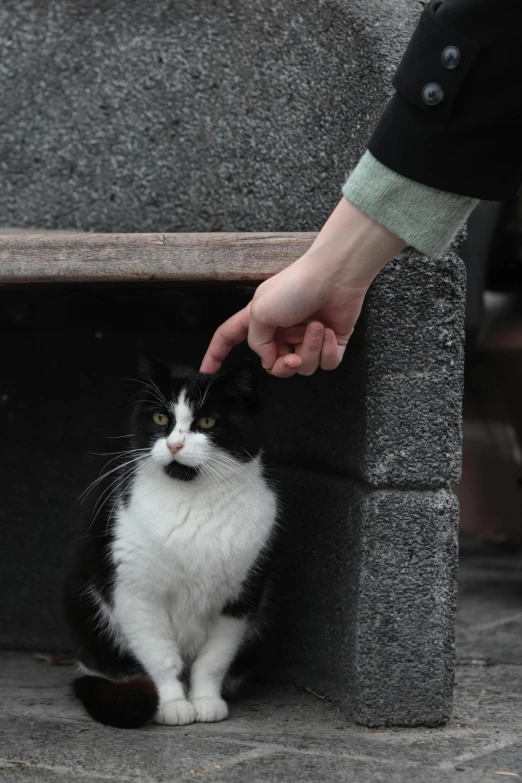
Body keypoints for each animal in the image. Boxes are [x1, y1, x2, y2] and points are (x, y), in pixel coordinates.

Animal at [62, 356, 276, 728]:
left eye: (207, 421)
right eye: (161, 418)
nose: (175, 445)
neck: (192, 500)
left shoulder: (238, 603)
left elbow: (213, 660)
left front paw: (206, 700)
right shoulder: (137, 595)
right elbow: (160, 656)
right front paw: (173, 704)